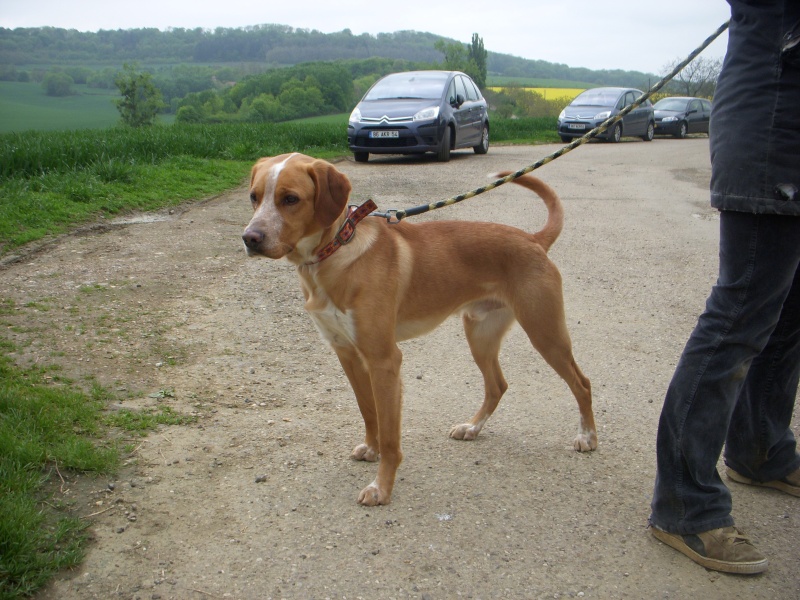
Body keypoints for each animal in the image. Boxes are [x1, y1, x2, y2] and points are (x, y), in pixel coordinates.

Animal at [241, 152, 596, 504]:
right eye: (254, 197)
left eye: (291, 199)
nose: (250, 239)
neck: (336, 253)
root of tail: (533, 239)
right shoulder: (347, 354)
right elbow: (368, 411)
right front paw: (370, 449)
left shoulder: (384, 360)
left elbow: (389, 435)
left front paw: (381, 487)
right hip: (480, 335)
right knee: (497, 385)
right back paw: (472, 428)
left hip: (545, 333)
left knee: (582, 383)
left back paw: (587, 437)